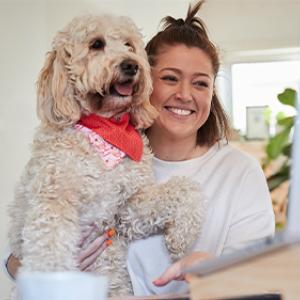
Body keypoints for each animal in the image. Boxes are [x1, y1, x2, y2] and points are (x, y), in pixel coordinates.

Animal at [8, 13, 207, 296]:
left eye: (129, 45)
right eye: (96, 44)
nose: (131, 65)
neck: (107, 130)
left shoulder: (125, 208)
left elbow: (184, 189)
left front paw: (181, 237)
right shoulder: (53, 202)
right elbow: (51, 253)